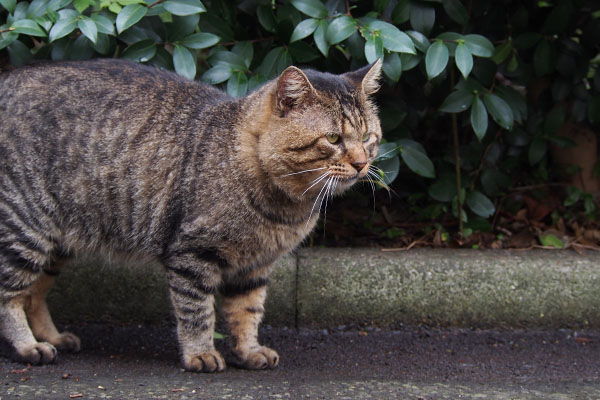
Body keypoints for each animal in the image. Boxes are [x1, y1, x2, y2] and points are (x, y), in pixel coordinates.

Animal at [0, 58, 382, 372]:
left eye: (368, 136)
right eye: (332, 138)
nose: (362, 163)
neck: (286, 206)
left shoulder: (255, 265)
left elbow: (248, 312)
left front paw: (248, 350)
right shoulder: (193, 253)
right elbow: (197, 312)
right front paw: (200, 353)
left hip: (56, 243)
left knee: (33, 293)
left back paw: (51, 337)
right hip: (25, 229)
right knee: (9, 295)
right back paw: (29, 346)